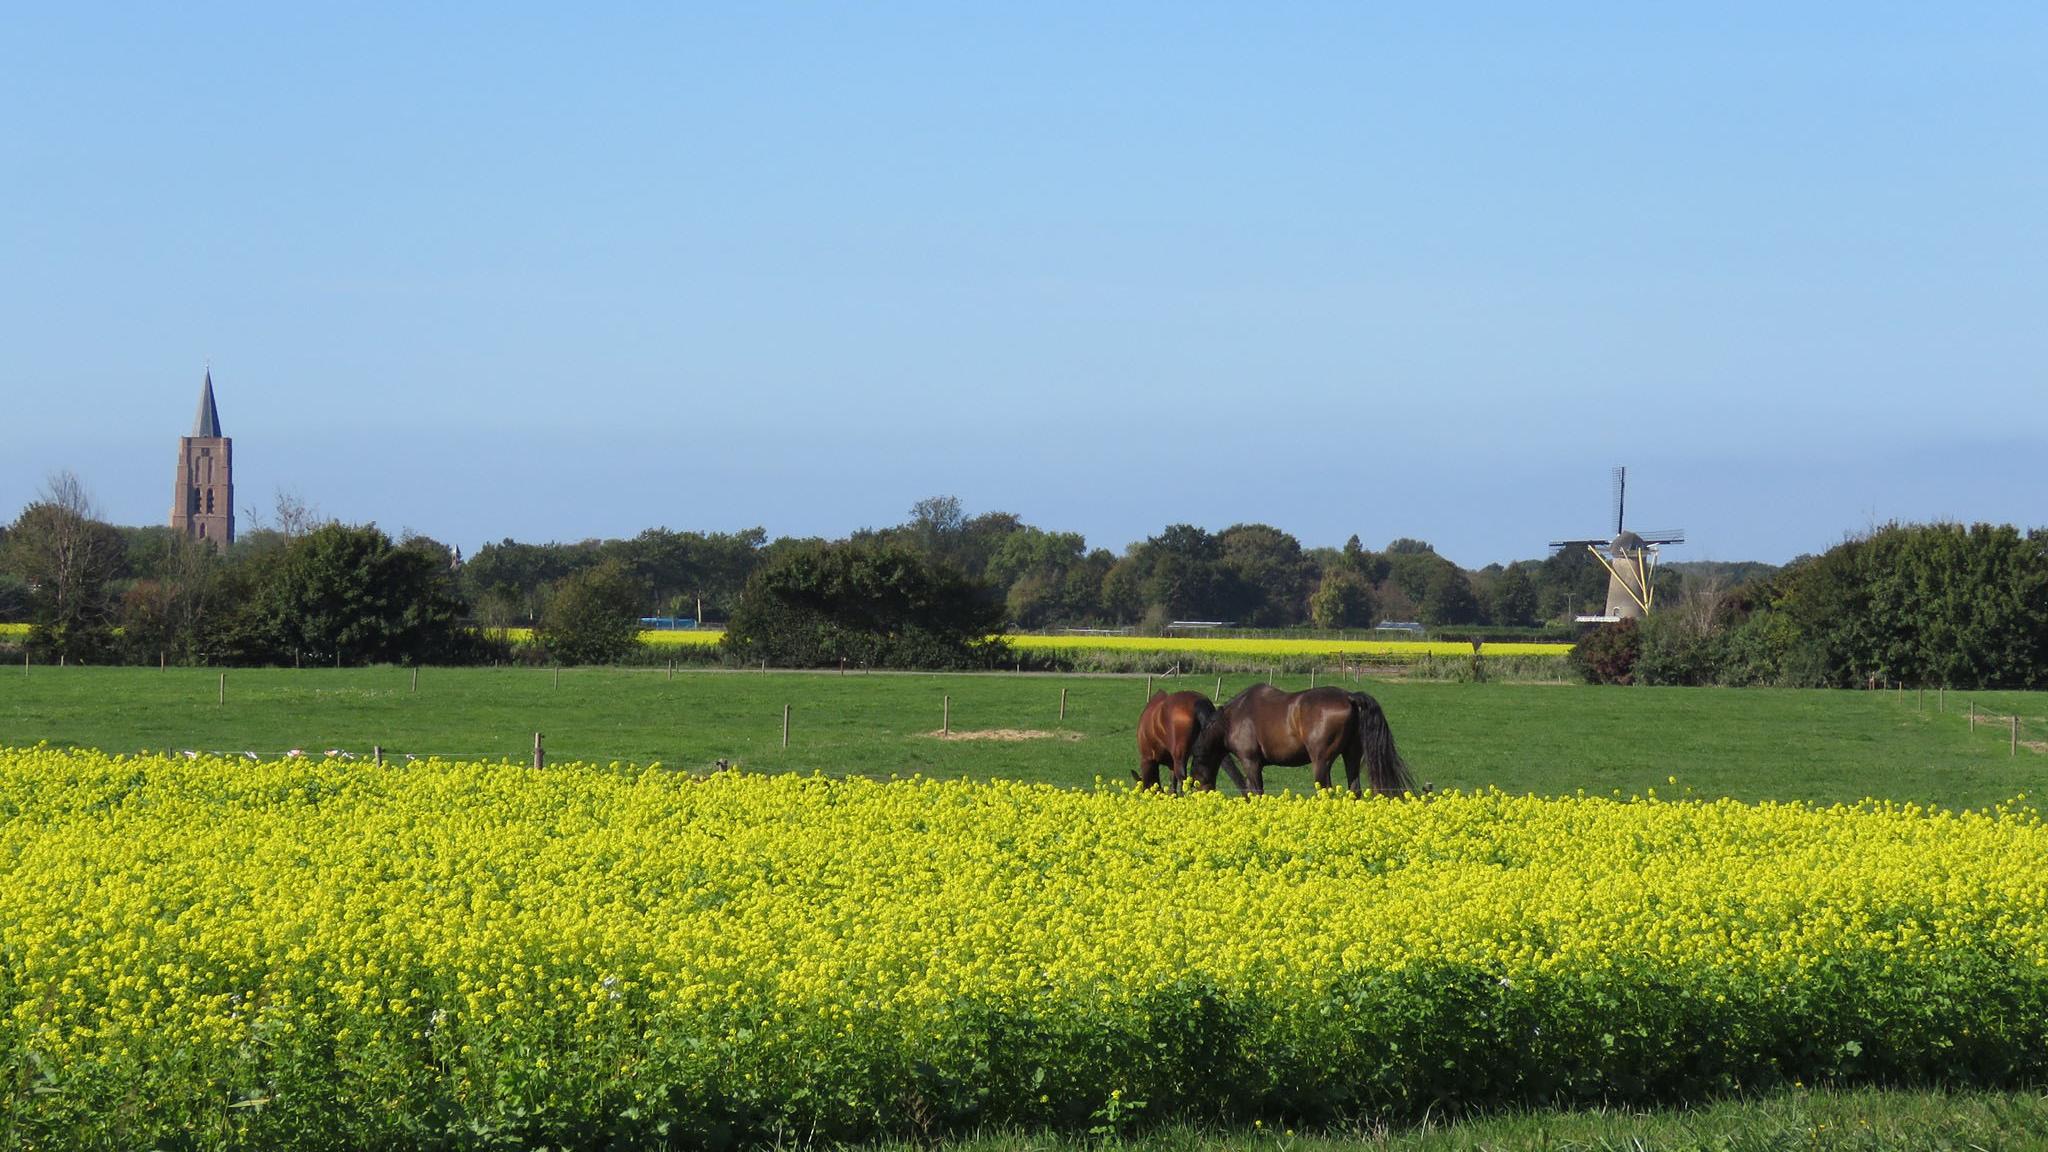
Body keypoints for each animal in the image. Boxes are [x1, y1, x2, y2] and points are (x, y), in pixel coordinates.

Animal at [1196, 684, 1417, 795]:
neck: (1233, 718)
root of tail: (1349, 697)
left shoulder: (1251, 762)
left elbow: (1257, 792)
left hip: (1321, 762)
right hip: (1351, 756)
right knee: (1354, 790)